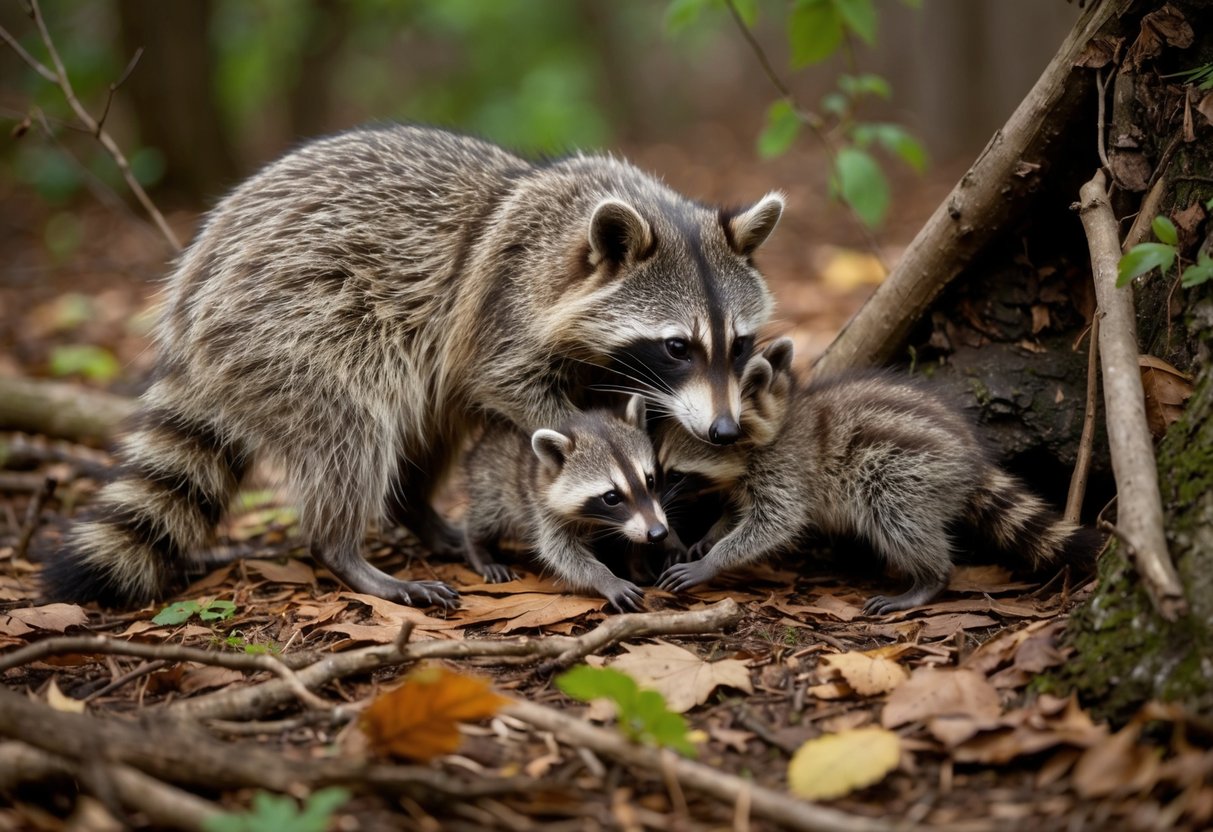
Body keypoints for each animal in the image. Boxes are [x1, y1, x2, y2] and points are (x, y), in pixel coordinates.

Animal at [462, 396, 669, 611]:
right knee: (486, 516)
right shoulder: (543, 509)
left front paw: (638, 563)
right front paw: (606, 578)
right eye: (611, 497)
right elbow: (562, 552)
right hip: (491, 480)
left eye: (650, 481)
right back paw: (476, 547)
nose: (658, 533)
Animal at [658, 356, 1101, 614]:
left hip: (905, 468)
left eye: (675, 475)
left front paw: (715, 558)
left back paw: (930, 577)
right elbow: (738, 508)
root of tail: (972, 458)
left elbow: (775, 522)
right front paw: (713, 531)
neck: (755, 446)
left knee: (895, 514)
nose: (659, 516)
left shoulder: (785, 469)